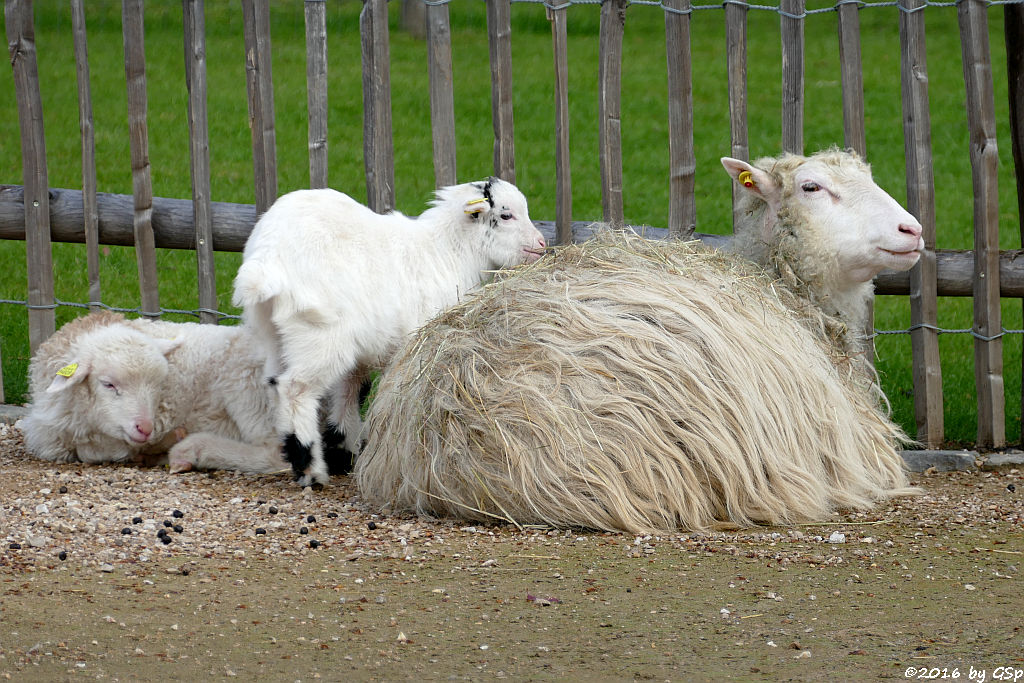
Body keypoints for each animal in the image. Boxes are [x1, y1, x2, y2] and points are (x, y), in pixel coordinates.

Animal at [18, 311, 288, 475]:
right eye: (108, 384)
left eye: (158, 383)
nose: (145, 428)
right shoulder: (49, 437)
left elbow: (99, 451)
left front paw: (160, 446)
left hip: (246, 386)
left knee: (277, 455)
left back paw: (190, 450)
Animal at [233, 176, 548, 485]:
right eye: (506, 215)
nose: (542, 244)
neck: (449, 251)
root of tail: (267, 258)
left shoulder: (364, 349)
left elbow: (351, 391)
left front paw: (343, 450)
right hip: (319, 332)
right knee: (295, 388)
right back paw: (310, 468)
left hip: (274, 332)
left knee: (274, 382)